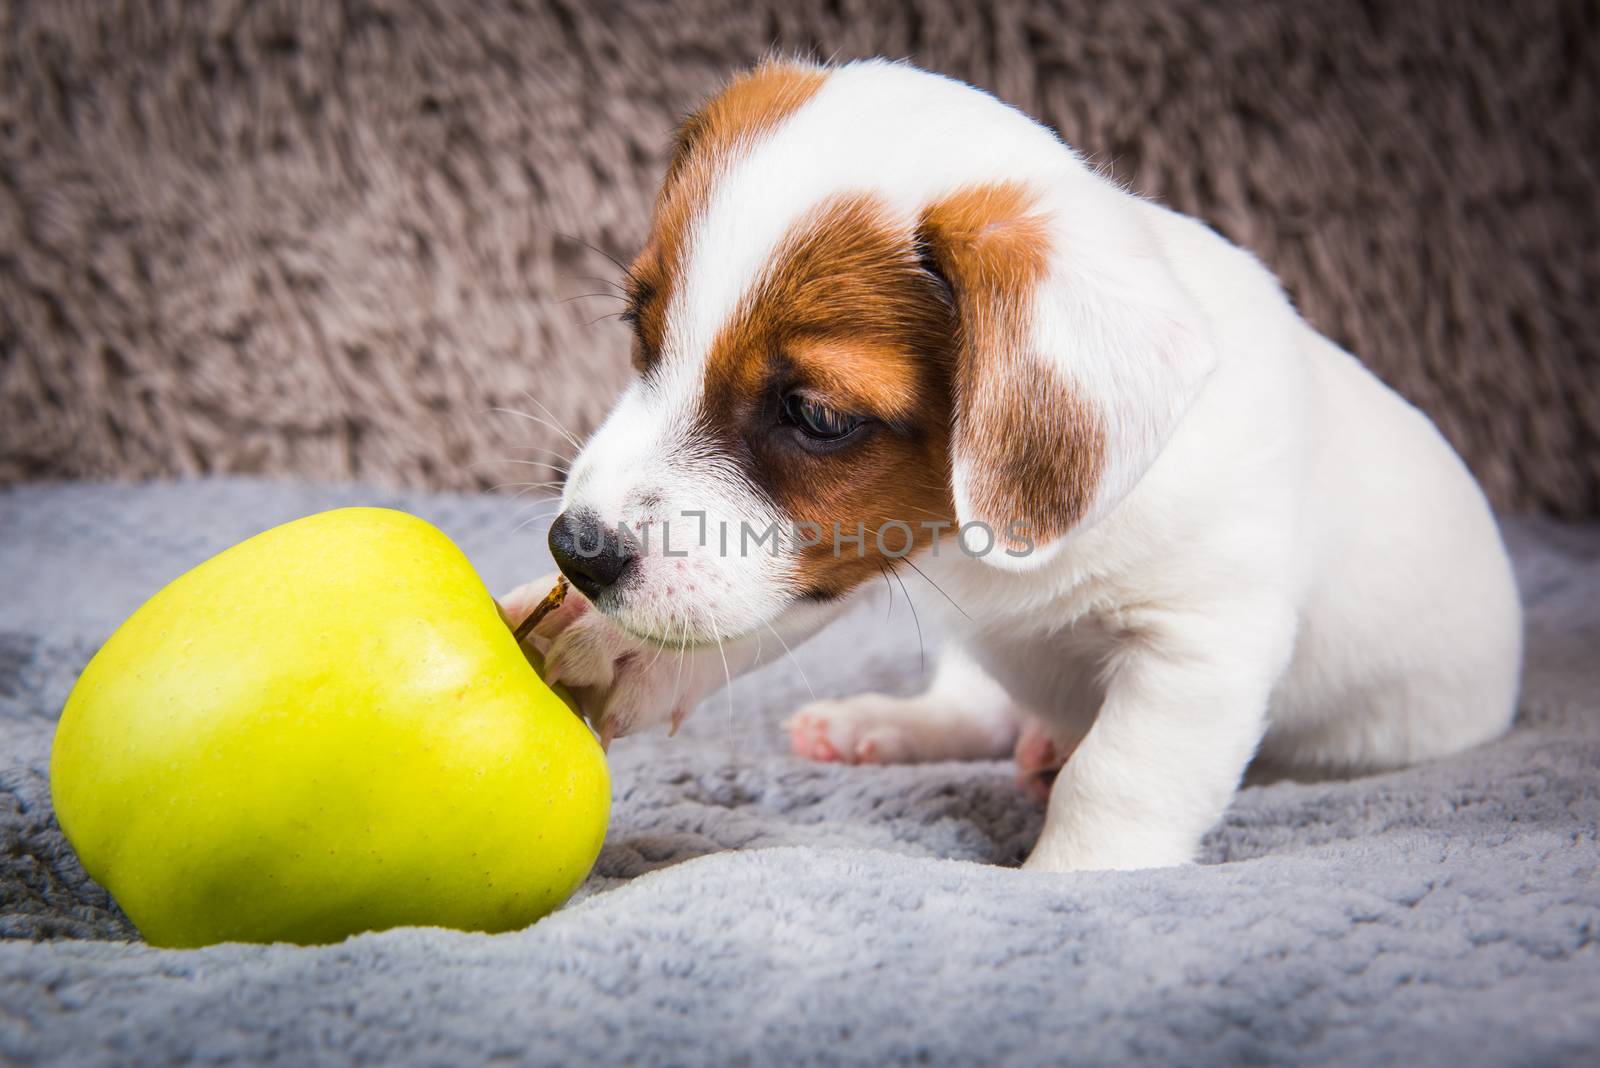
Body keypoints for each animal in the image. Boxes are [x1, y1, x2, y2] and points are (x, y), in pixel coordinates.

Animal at [502, 58, 1523, 869]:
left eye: (816, 415)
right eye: (640, 330)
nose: (574, 551)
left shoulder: (1201, 645)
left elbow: (1117, 781)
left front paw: (1073, 882)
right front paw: (617, 648)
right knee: (979, 706)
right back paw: (888, 724)